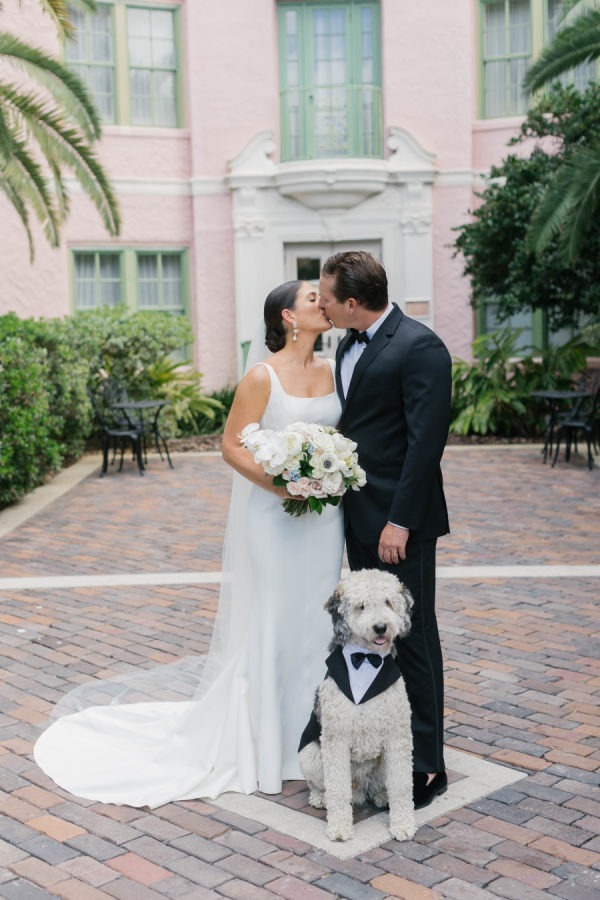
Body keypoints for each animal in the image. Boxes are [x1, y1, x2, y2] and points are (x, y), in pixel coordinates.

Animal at [298, 568, 414, 844]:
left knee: (383, 785)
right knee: (322, 785)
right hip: (310, 754)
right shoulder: (336, 739)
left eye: (388, 602)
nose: (381, 627)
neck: (366, 660)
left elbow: (402, 785)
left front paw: (403, 824)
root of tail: (361, 788)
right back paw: (320, 798)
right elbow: (338, 789)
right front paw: (340, 828)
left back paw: (382, 796)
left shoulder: (398, 738)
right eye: (361, 606)